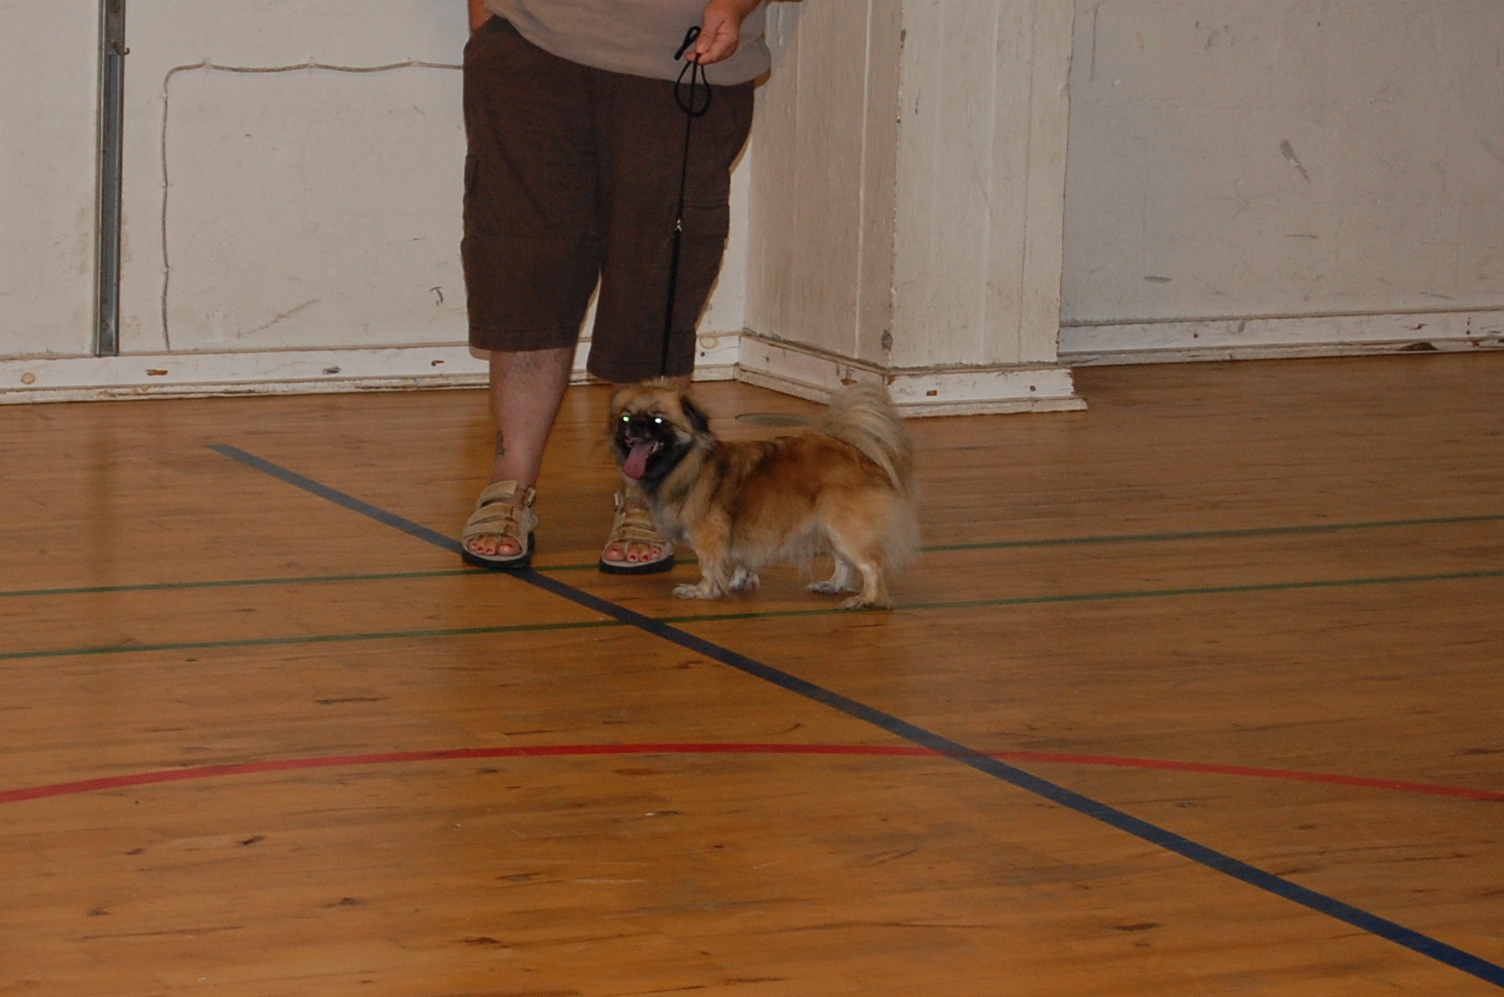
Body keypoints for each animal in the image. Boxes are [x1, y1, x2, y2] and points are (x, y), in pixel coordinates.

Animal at [607, 381, 918, 609]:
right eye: (626, 418)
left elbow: (708, 565)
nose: (635, 427)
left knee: (871, 566)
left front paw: (703, 591)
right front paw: (740, 581)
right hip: (832, 528)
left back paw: (867, 600)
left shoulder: (708, 536)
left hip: (844, 527)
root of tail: (856, 450)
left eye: (659, 421)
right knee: (844, 562)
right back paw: (832, 585)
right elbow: (740, 560)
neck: (686, 464)